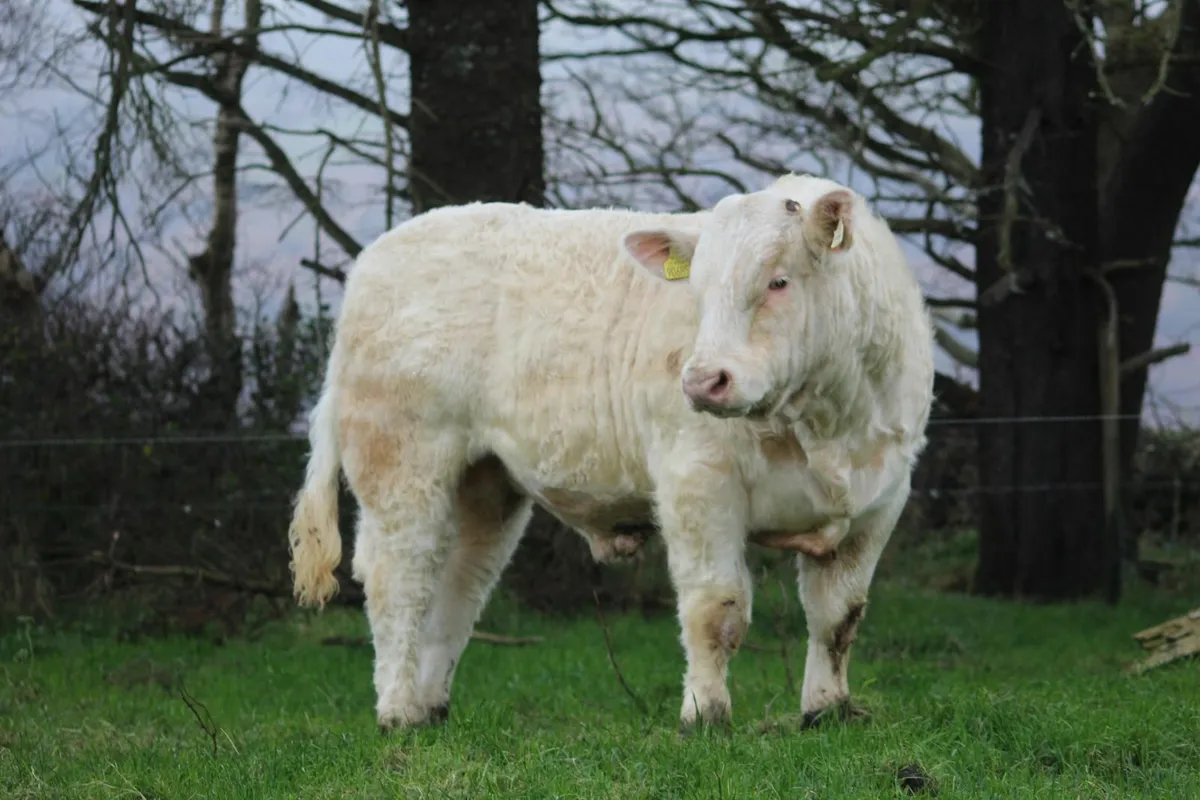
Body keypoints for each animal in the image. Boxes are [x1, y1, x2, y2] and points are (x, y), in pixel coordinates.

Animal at [287, 173, 935, 734]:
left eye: (779, 280)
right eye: (697, 292)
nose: (703, 381)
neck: (829, 426)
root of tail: (379, 254)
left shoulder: (881, 500)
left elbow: (838, 616)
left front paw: (826, 710)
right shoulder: (697, 482)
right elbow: (715, 607)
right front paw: (704, 716)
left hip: (485, 484)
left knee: (459, 583)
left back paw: (430, 706)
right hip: (403, 463)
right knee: (398, 576)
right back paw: (398, 710)